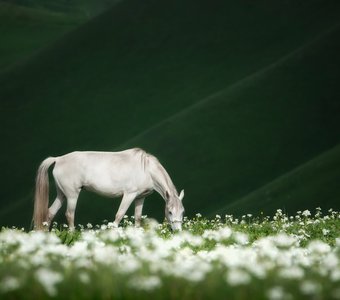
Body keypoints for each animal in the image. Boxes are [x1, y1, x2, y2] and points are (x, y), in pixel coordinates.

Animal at [33, 149, 185, 231]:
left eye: (182, 212)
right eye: (170, 212)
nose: (177, 231)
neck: (146, 169)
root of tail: (58, 159)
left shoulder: (140, 198)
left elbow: (137, 218)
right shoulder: (129, 195)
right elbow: (119, 215)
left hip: (62, 194)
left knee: (50, 213)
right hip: (72, 196)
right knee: (69, 214)